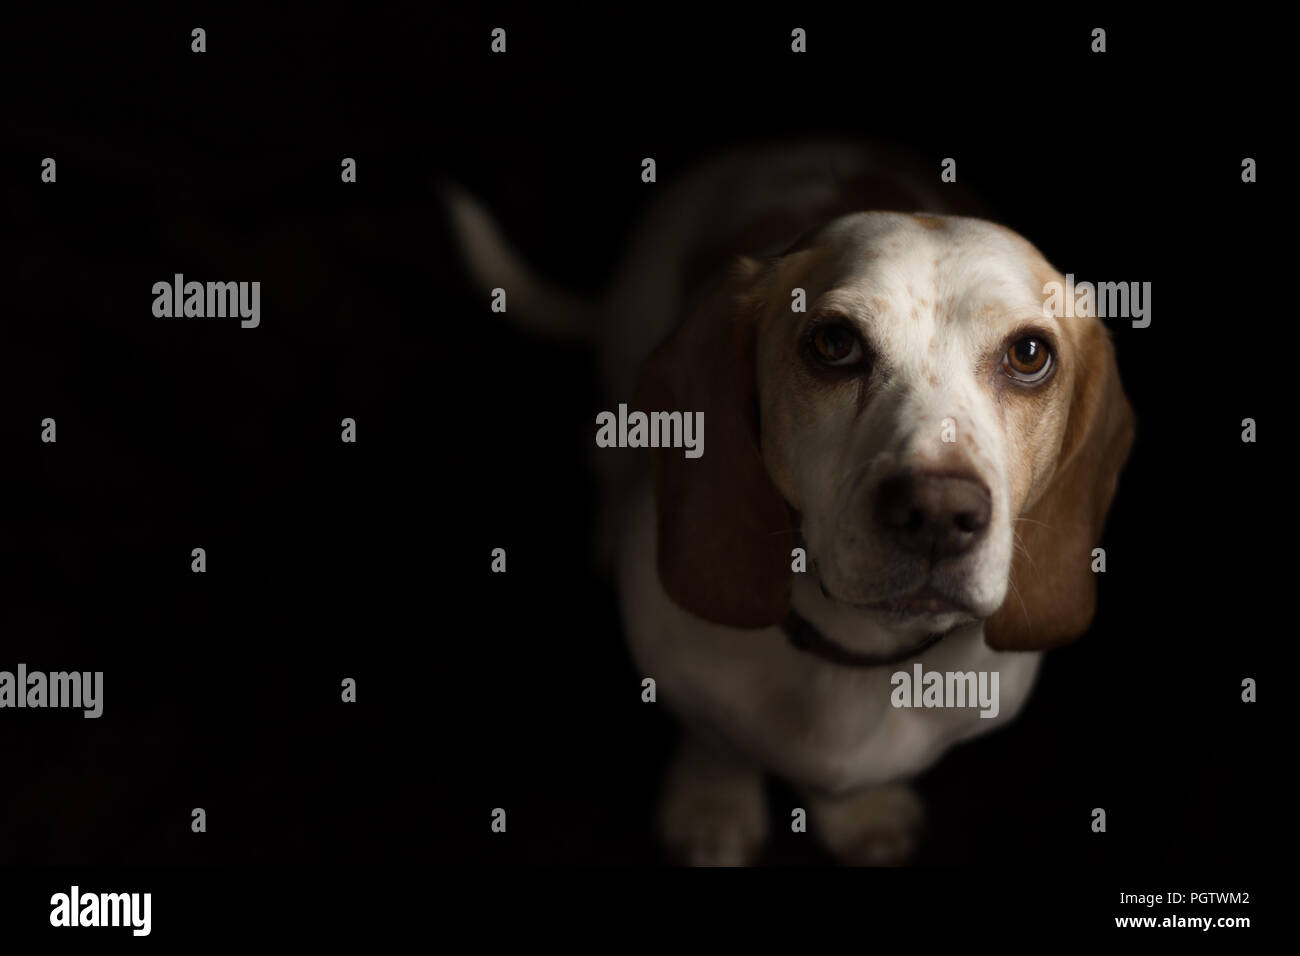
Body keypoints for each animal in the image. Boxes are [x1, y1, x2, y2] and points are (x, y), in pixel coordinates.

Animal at [447, 141, 1138, 868]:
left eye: (1029, 354)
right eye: (834, 343)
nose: (939, 514)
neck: (853, 653)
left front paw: (859, 814)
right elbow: (717, 740)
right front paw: (714, 804)